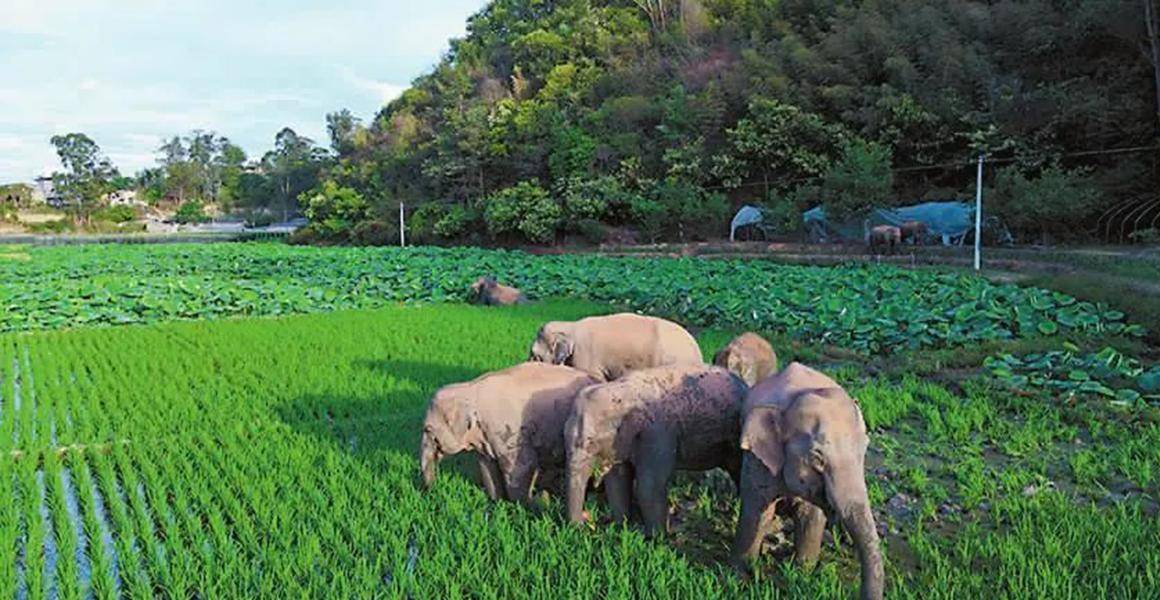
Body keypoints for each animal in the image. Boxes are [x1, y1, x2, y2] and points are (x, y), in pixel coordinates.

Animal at [419, 362, 598, 503]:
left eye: (427, 430)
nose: (431, 492)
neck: (469, 388)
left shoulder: (510, 433)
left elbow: (521, 467)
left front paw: (525, 504)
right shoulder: (485, 438)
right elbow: (487, 467)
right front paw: (496, 501)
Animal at [563, 362, 747, 536]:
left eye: (590, 443)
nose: (584, 525)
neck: (619, 390)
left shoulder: (658, 433)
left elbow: (650, 484)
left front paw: (654, 539)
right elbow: (618, 479)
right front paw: (621, 527)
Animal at [728, 359, 881, 598]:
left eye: (864, 450)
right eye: (817, 458)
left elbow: (810, 515)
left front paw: (802, 573)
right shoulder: (758, 460)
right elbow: (757, 511)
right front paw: (740, 578)